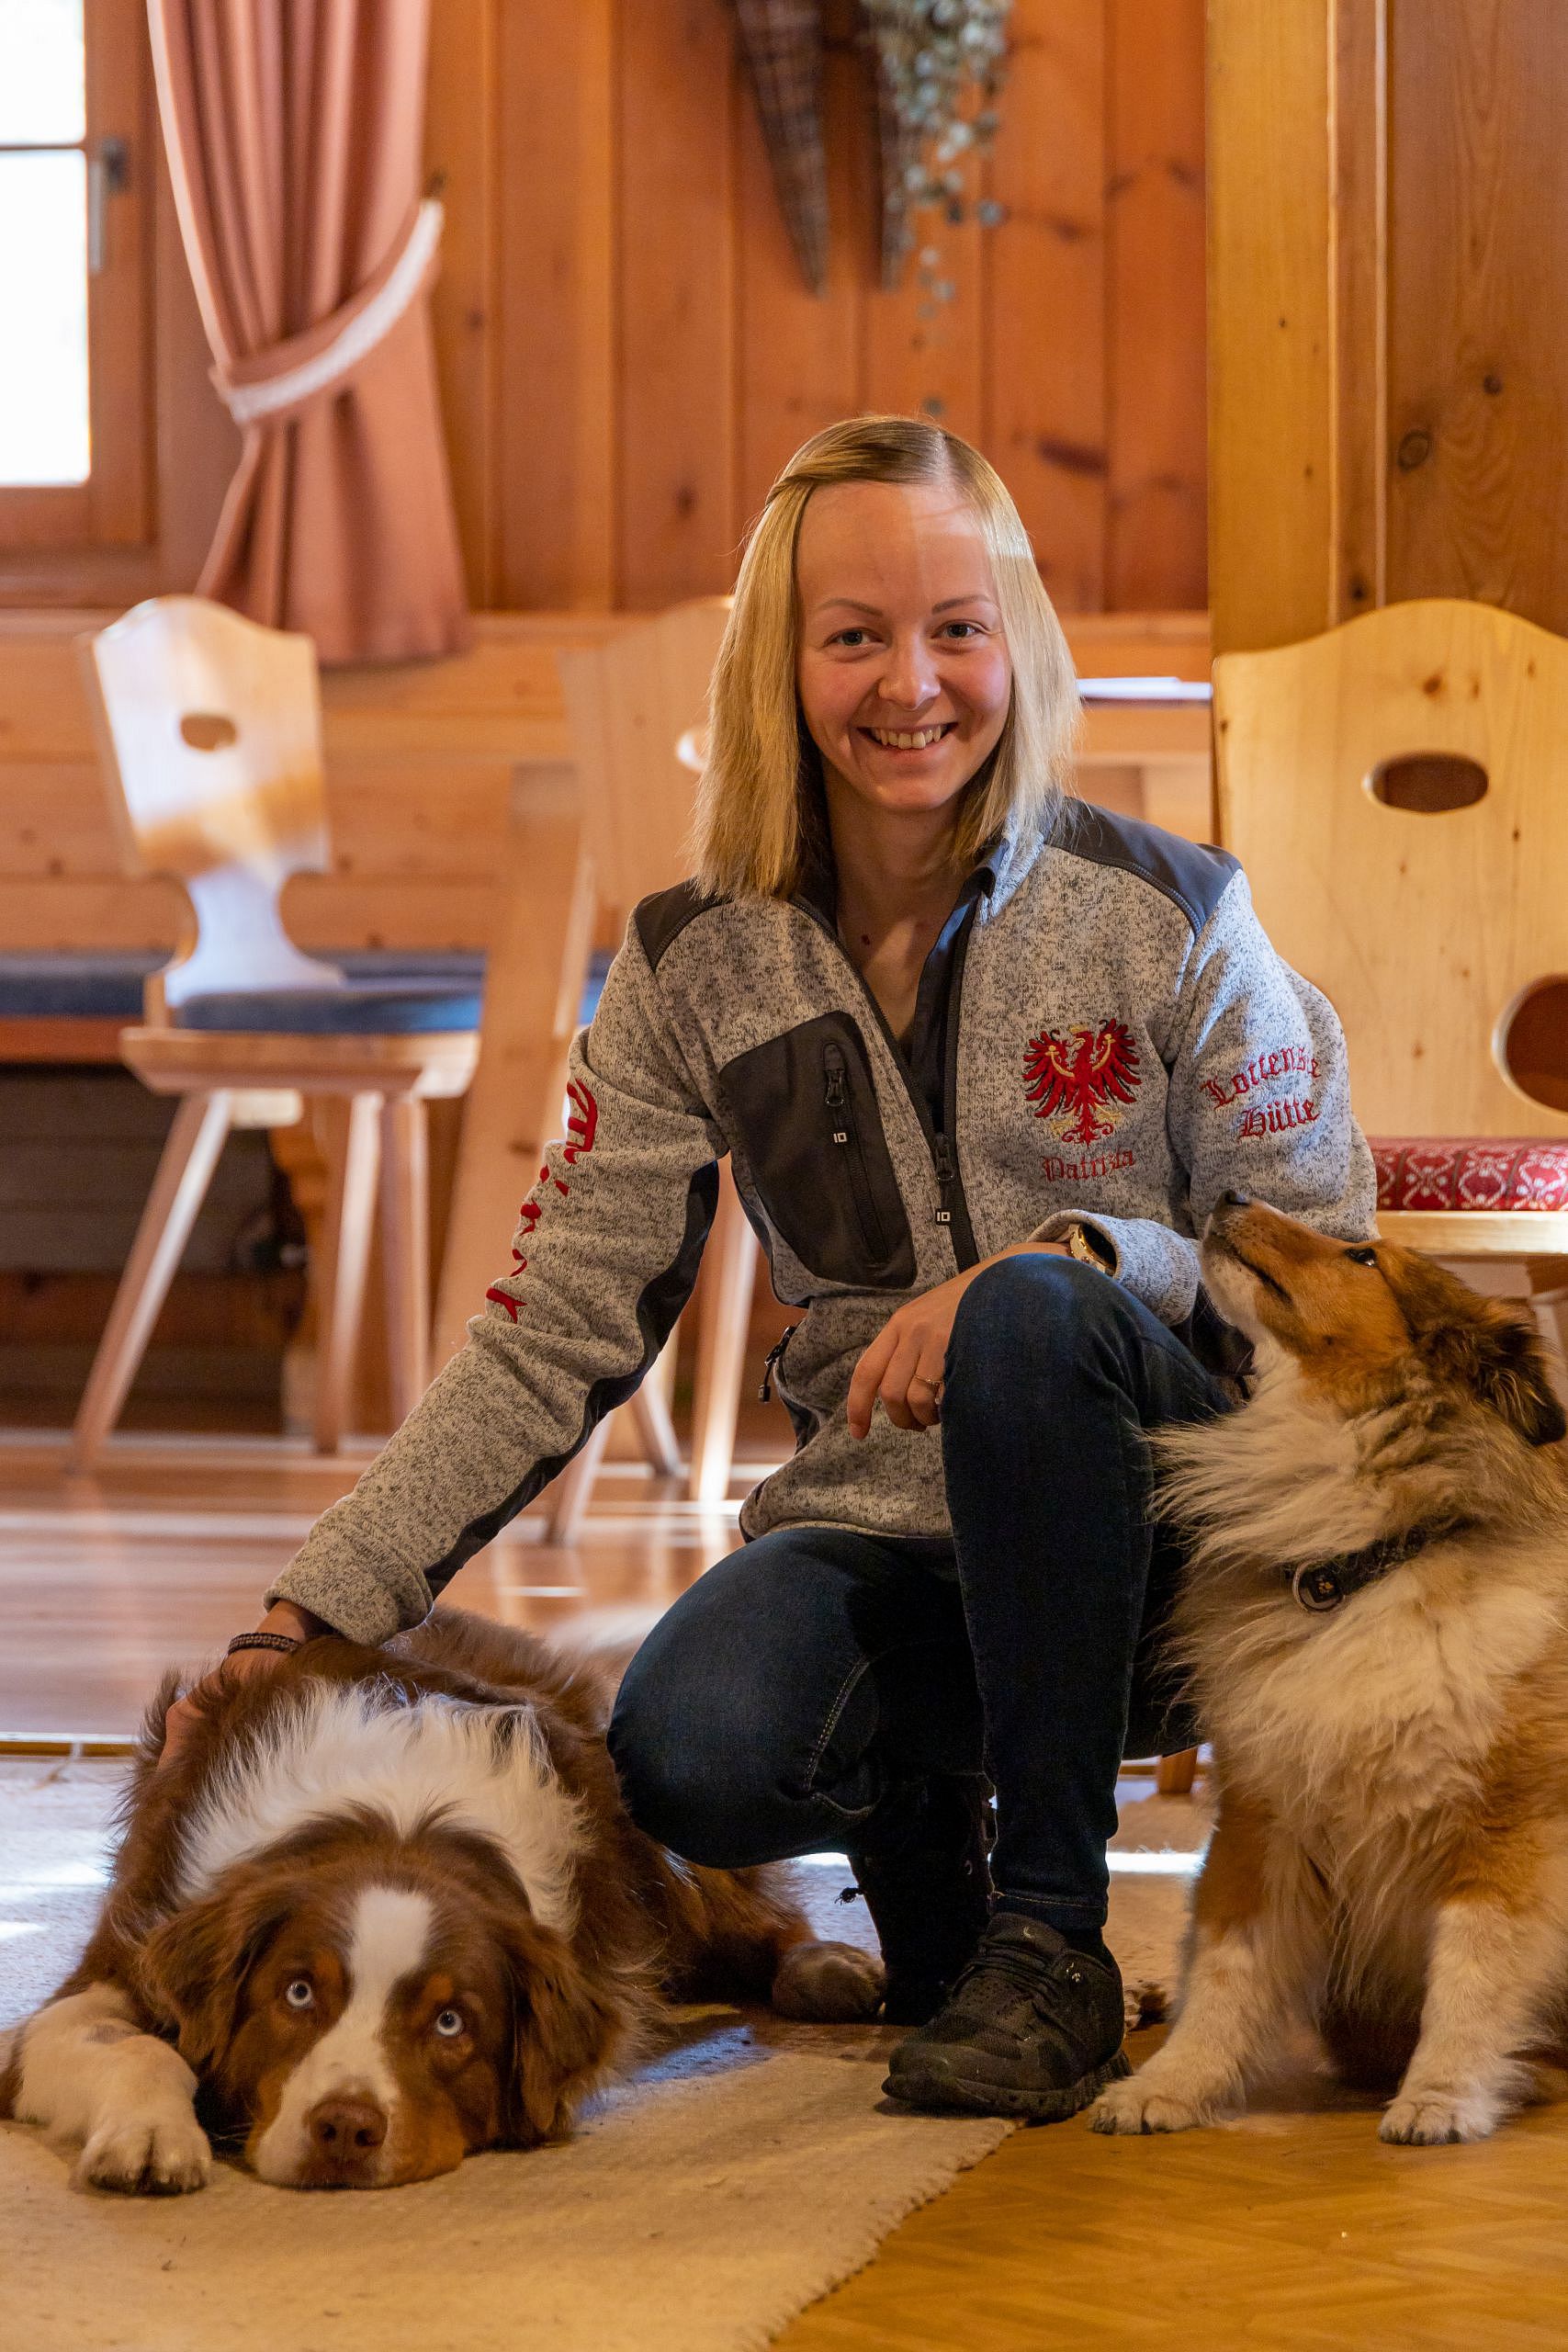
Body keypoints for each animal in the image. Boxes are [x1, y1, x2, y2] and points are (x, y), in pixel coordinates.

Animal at [0, 1609, 884, 2191]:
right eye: (297, 1993)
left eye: (451, 2023)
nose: (345, 2129)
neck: (396, 1821)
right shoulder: (130, 1945)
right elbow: (126, 2041)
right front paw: (151, 2135)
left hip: (662, 1829)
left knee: (759, 1913)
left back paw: (827, 1968)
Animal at [1090, 1204, 1568, 2144]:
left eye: (1363, 1258)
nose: (1228, 1199)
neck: (1363, 1567)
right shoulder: (1261, 1817)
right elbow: (1226, 1970)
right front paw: (1169, 2086)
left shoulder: (1507, 1829)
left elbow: (1472, 1973)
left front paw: (1439, 2100)